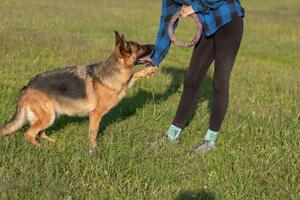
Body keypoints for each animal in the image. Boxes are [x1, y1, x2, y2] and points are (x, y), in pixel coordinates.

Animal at [0, 31, 155, 152]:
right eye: (139, 47)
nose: (154, 46)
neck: (114, 70)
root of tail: (27, 87)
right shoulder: (95, 115)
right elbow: (93, 133)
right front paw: (94, 149)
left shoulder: (124, 84)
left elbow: (132, 77)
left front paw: (147, 71)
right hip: (47, 116)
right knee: (28, 134)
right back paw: (39, 148)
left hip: (51, 115)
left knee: (39, 133)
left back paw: (51, 142)